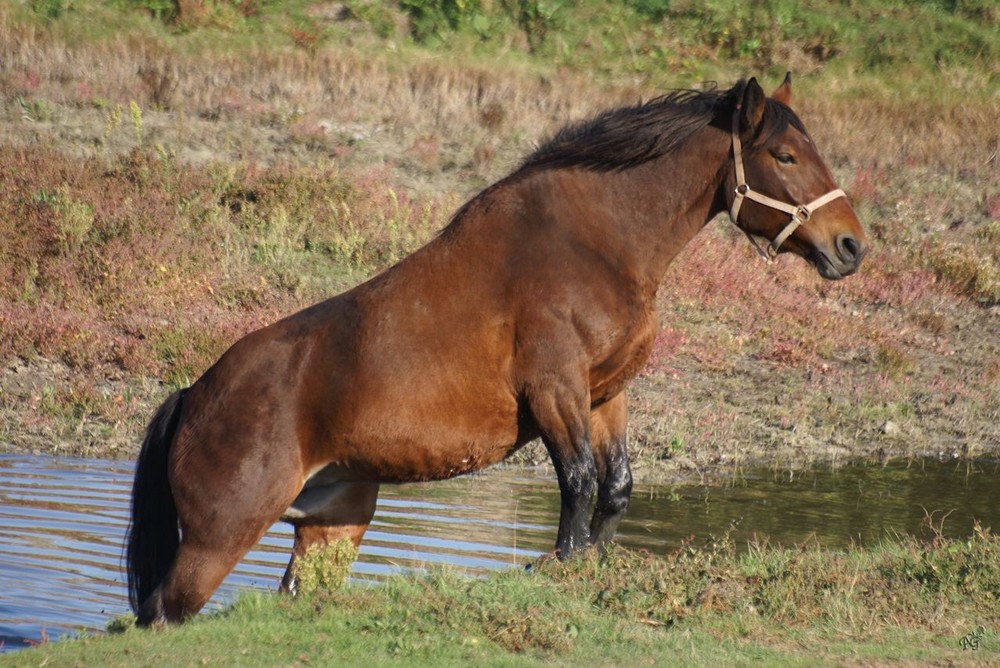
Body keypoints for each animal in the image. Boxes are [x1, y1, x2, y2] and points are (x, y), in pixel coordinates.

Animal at [127, 75, 868, 624]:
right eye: (785, 156)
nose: (851, 246)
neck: (594, 242)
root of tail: (192, 396)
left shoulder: (605, 394)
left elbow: (615, 488)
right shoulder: (555, 389)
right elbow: (578, 484)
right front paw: (557, 568)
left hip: (331, 522)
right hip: (219, 539)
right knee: (162, 612)